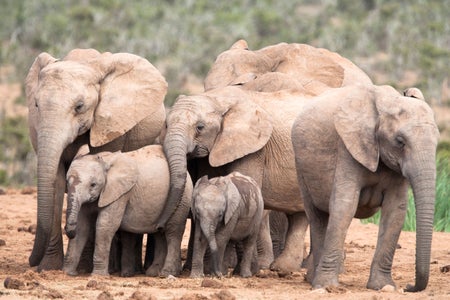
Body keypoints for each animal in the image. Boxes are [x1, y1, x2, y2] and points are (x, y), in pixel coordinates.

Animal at [24, 49, 166, 272]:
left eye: (79, 106)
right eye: (36, 104)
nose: (32, 262)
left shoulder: (111, 123)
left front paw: (83, 268)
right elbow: (56, 181)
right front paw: (48, 268)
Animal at [62, 144, 192, 278]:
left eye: (93, 184)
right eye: (67, 182)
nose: (68, 231)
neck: (104, 160)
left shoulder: (120, 193)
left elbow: (105, 225)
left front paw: (98, 275)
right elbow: (82, 227)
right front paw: (68, 273)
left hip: (183, 199)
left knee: (173, 232)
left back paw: (167, 273)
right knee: (159, 234)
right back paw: (154, 272)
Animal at [292, 85, 440, 292]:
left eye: (437, 141)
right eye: (400, 141)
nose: (409, 286)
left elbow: (395, 211)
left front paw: (383, 286)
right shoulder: (348, 148)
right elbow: (344, 206)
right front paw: (327, 286)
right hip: (301, 168)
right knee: (317, 217)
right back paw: (314, 281)